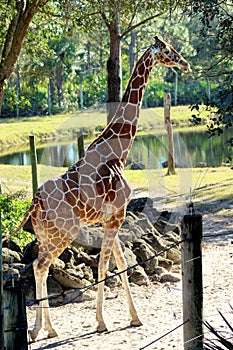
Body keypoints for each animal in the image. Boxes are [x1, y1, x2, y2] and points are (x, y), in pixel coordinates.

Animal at [9, 36, 191, 342]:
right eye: (169, 50)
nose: (186, 64)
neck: (119, 152)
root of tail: (34, 203)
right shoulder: (117, 214)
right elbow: (106, 265)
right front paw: (101, 322)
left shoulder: (111, 217)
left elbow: (121, 262)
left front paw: (134, 318)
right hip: (64, 232)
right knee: (41, 265)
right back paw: (43, 329)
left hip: (45, 234)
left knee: (38, 267)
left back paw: (44, 329)